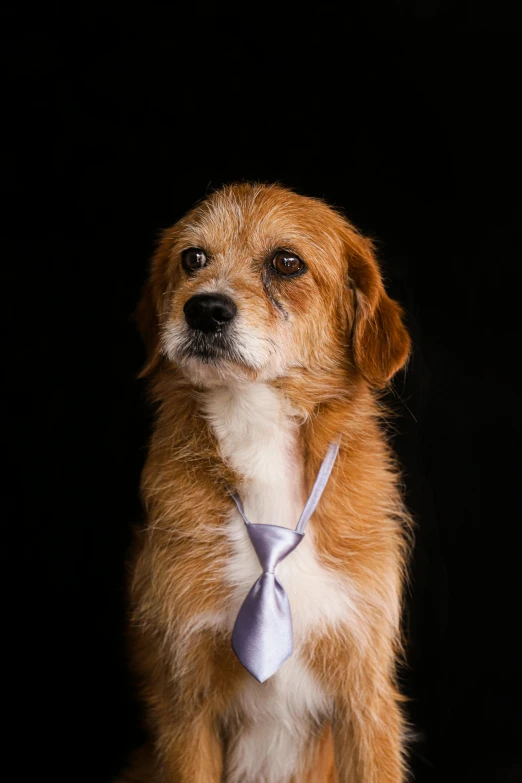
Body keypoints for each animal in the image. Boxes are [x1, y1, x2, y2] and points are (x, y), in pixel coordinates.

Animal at [118, 181, 410, 780]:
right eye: (192, 258)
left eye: (287, 262)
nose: (204, 309)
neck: (258, 428)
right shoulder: (186, 705)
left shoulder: (365, 697)